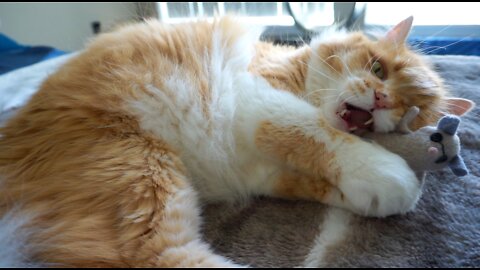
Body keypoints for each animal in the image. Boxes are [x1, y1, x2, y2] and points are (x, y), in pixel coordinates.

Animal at [0, 15, 474, 266]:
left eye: (411, 110)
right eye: (379, 70)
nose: (381, 99)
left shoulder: (263, 173)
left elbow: (324, 178)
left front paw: (377, 194)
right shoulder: (257, 96)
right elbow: (316, 133)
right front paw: (391, 173)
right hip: (138, 174)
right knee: (159, 256)